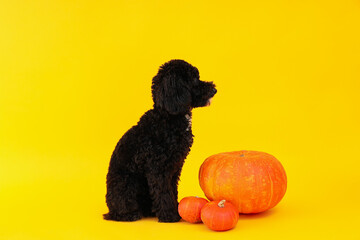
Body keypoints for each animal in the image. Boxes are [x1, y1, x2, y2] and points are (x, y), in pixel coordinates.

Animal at [104, 59, 217, 222]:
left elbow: (172, 190)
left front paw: (176, 208)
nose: (214, 90)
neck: (168, 116)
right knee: (120, 209)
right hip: (126, 184)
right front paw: (169, 215)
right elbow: (163, 192)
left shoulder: (175, 166)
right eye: (194, 79)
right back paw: (130, 214)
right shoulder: (158, 168)